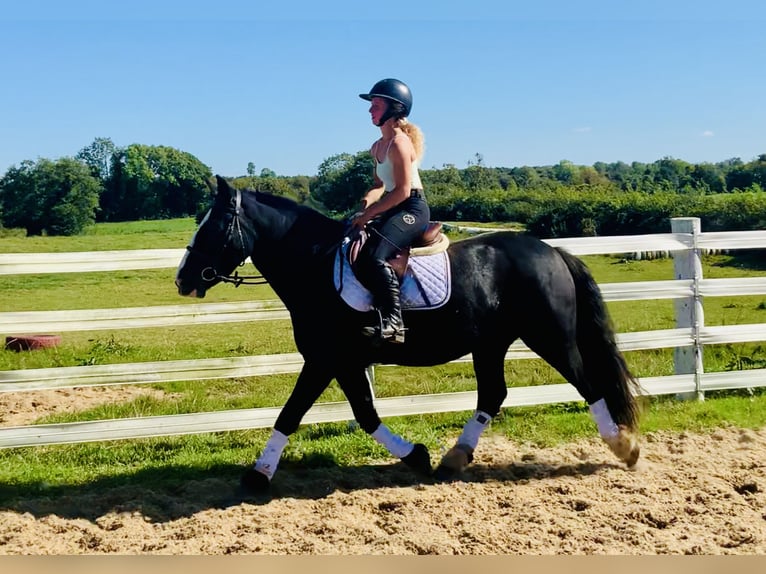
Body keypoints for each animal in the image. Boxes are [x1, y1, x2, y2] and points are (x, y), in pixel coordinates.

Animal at [176, 177, 640, 496]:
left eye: (213, 227)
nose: (183, 280)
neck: (315, 266)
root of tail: (552, 251)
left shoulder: (325, 359)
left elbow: (291, 414)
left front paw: (257, 475)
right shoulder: (344, 362)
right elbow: (365, 415)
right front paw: (417, 455)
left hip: (551, 338)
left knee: (589, 384)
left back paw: (624, 447)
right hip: (490, 345)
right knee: (493, 394)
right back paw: (454, 458)